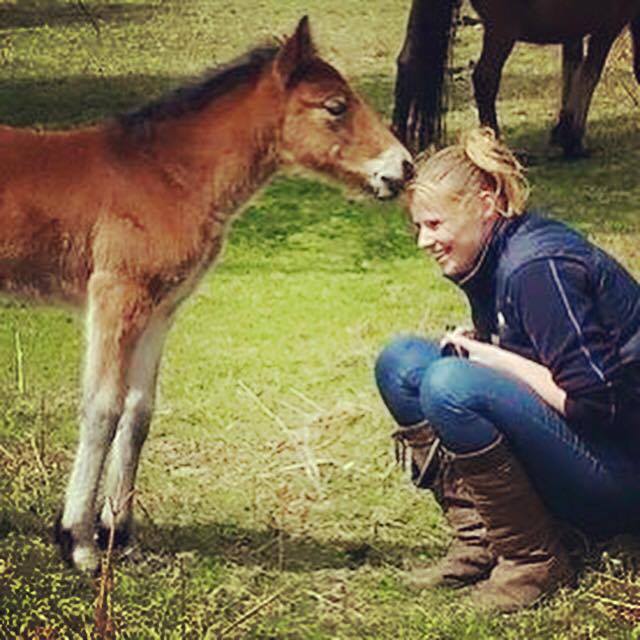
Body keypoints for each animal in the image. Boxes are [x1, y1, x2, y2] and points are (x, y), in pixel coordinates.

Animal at [0, 16, 413, 573]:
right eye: (335, 105)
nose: (404, 168)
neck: (163, 176)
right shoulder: (117, 296)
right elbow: (103, 409)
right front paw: (79, 543)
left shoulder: (160, 311)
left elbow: (138, 412)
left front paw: (119, 534)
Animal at [392, 0, 640, 157]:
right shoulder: (610, 23)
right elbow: (590, 74)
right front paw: (573, 138)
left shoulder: (575, 27)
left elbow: (571, 69)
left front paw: (562, 132)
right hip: (502, 30)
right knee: (485, 77)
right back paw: (496, 144)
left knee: (407, 62)